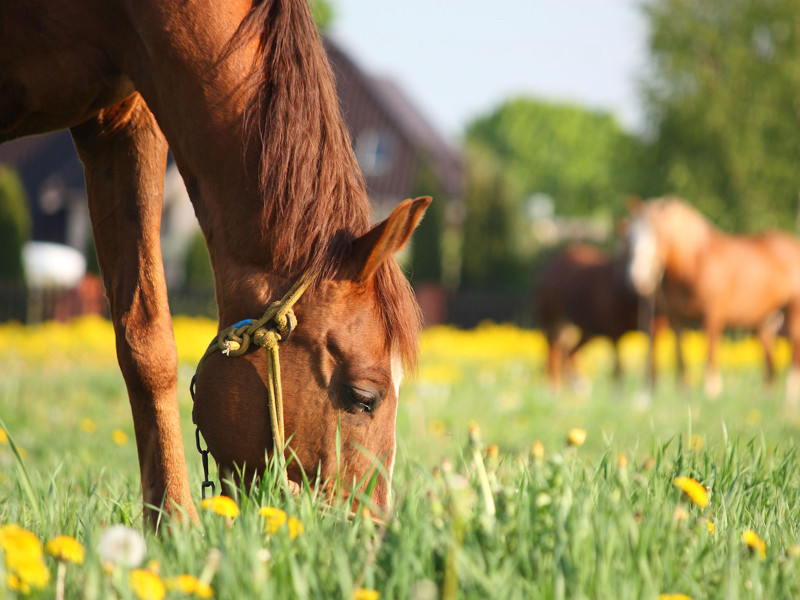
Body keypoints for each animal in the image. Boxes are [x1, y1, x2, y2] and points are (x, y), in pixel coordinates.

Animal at [536, 243, 650, 388]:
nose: (639, 281)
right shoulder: (615, 332)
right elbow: (618, 369)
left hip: (584, 331)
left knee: (569, 353)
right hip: (554, 323)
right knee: (555, 353)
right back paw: (555, 386)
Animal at [626, 196, 800, 402]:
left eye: (660, 235)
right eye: (631, 237)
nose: (638, 277)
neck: (693, 263)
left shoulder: (713, 313)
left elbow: (710, 349)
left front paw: (711, 391)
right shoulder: (676, 317)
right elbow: (680, 353)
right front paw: (684, 390)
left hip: (793, 310)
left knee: (794, 346)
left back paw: (790, 392)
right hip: (764, 319)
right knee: (768, 356)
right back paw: (767, 394)